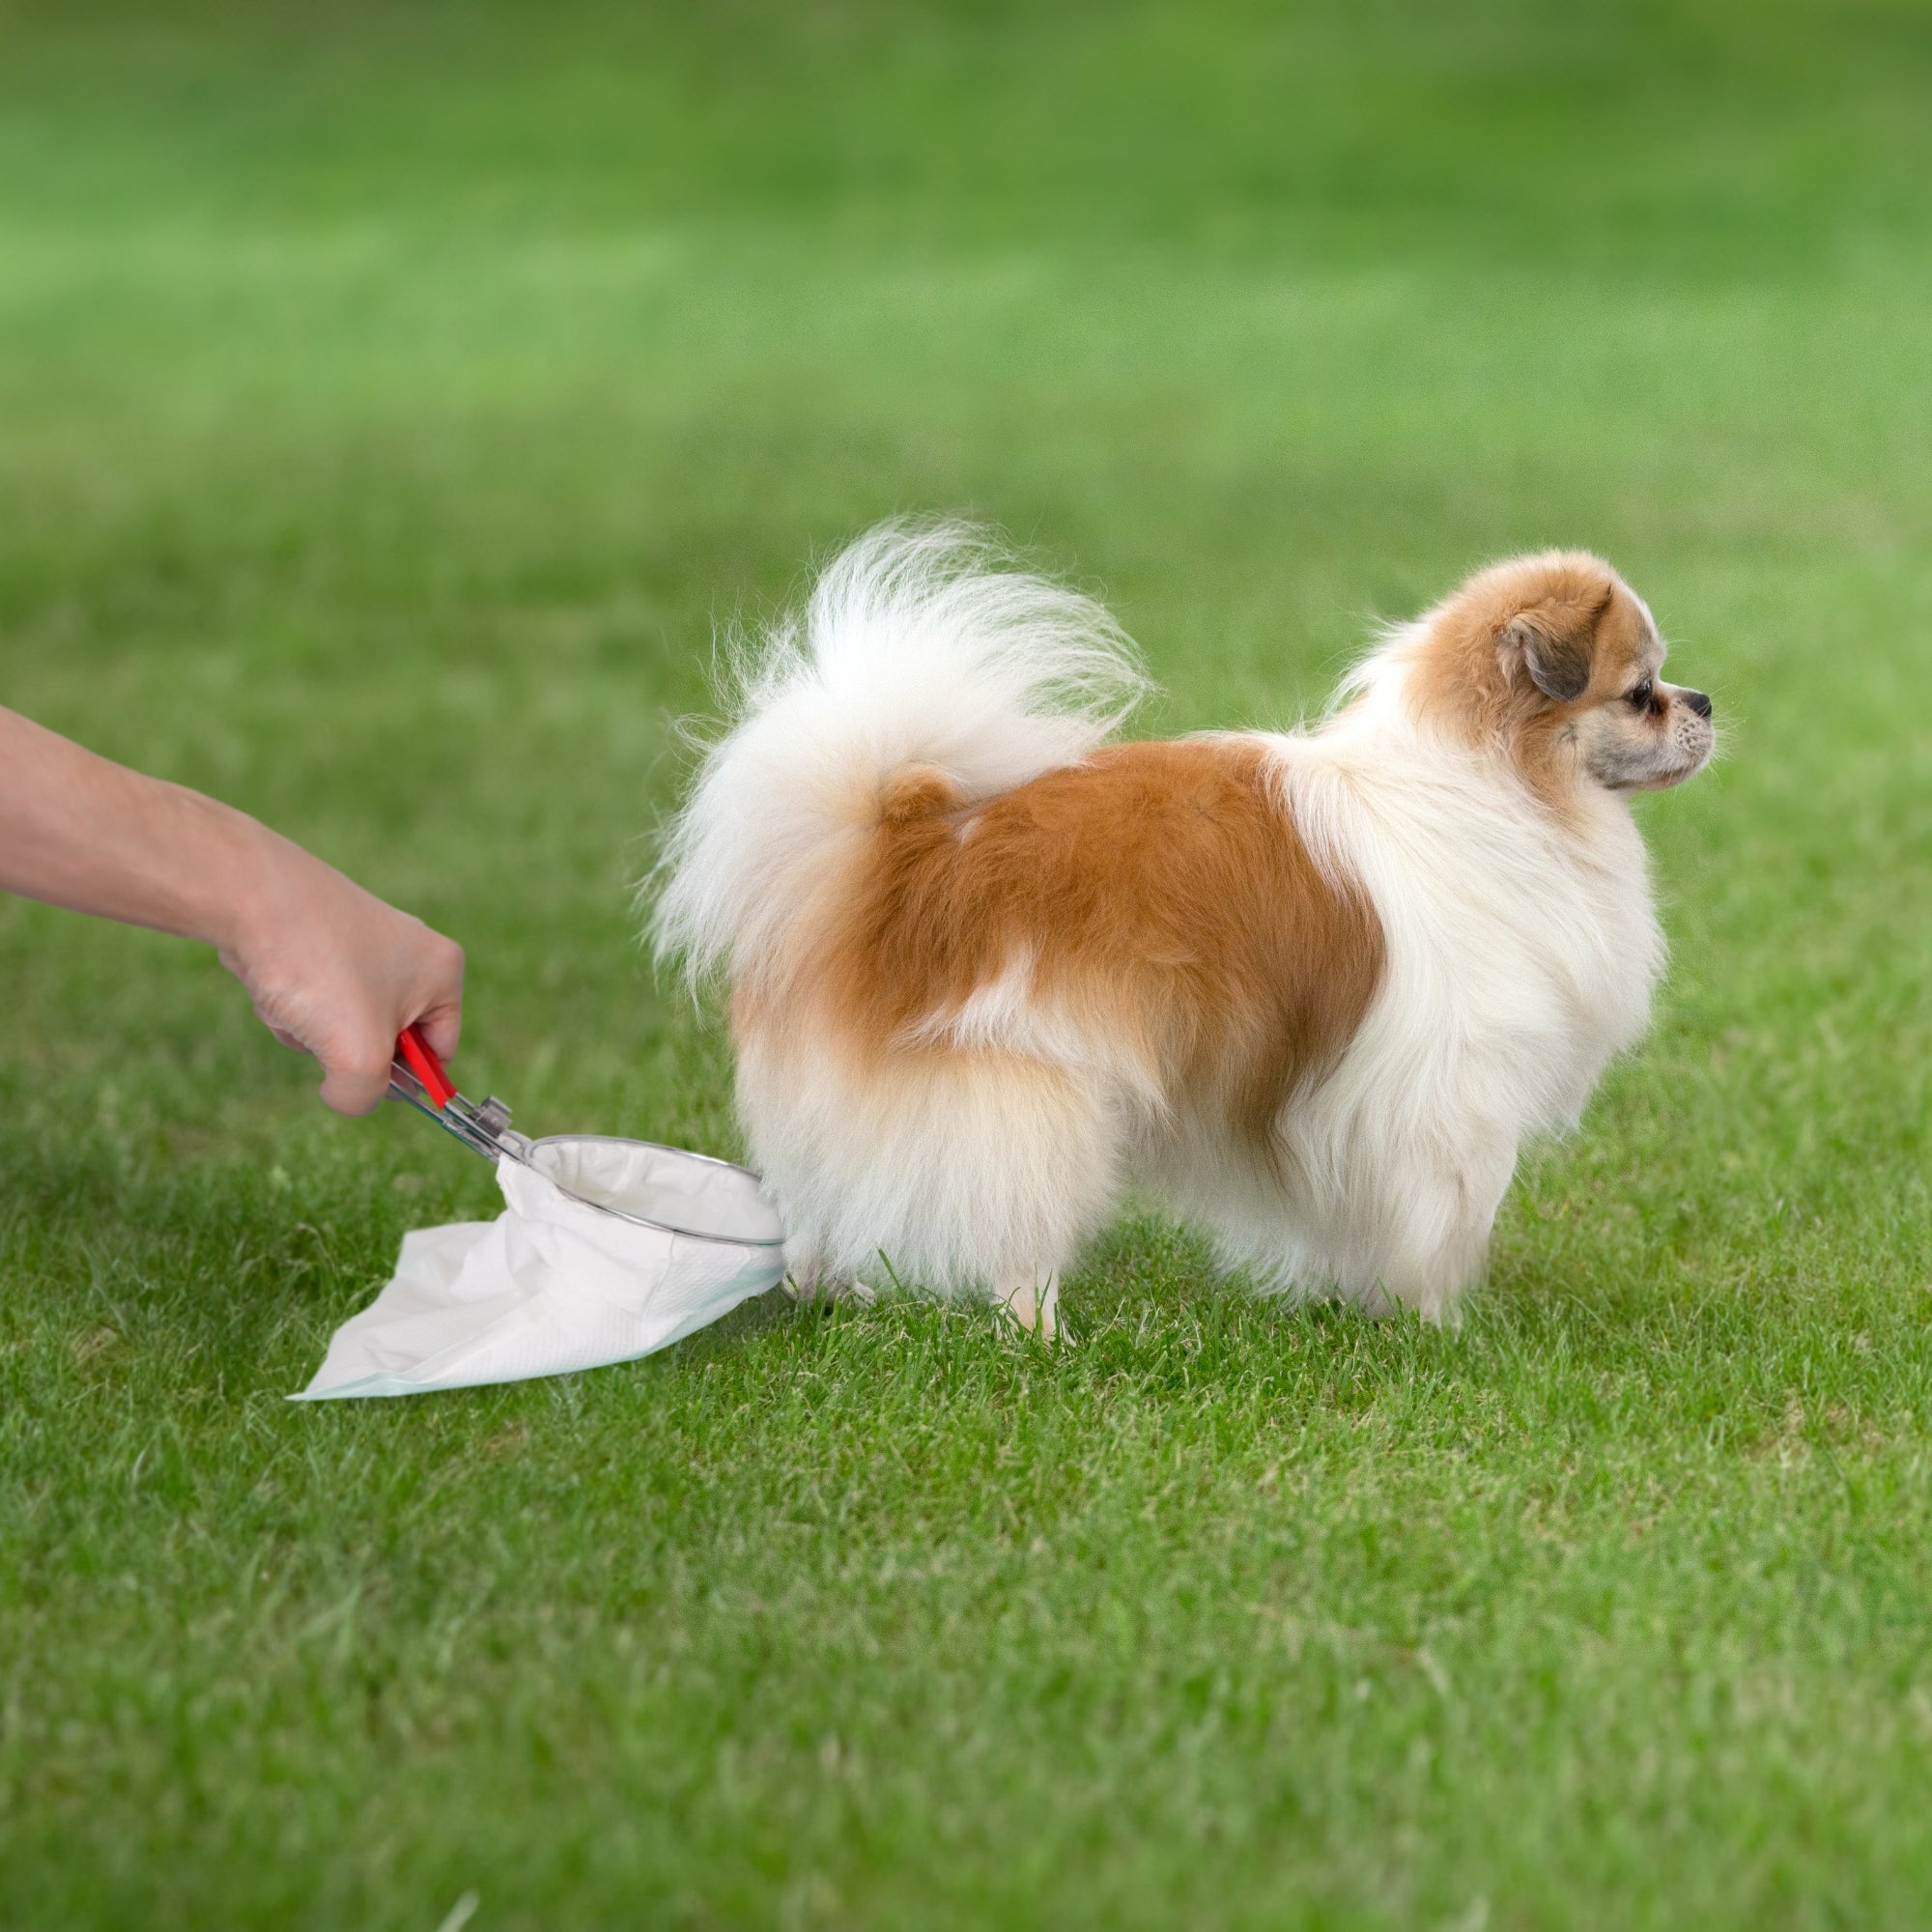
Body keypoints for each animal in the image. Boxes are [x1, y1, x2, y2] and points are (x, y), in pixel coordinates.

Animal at [657, 529, 1716, 1345]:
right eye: (1640, 692)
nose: (1703, 701)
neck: (1499, 786)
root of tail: (913, 849)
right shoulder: (1449, 1100)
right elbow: (1442, 1224)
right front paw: (1443, 1329)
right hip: (1032, 1094)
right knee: (1011, 1235)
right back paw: (1041, 1336)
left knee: (812, 1214)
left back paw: (832, 1295)